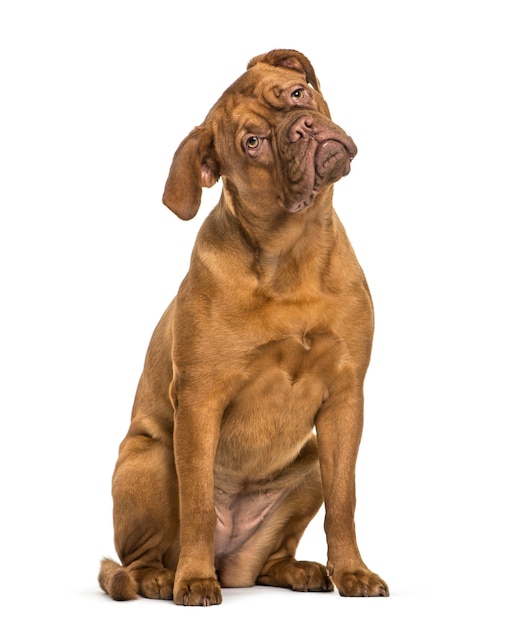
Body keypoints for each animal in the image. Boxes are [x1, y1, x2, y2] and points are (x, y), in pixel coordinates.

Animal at [99, 48, 388, 604]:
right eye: (252, 143)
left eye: (298, 94)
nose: (301, 128)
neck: (292, 250)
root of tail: (231, 562)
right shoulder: (198, 401)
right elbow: (195, 505)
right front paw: (193, 581)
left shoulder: (345, 400)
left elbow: (345, 501)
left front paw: (352, 571)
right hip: (151, 457)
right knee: (137, 559)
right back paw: (163, 577)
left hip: (309, 465)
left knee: (267, 559)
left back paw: (295, 570)